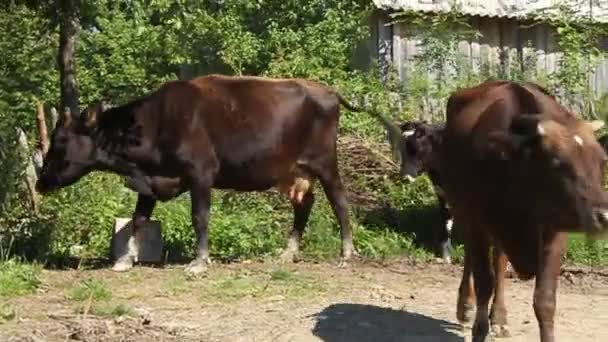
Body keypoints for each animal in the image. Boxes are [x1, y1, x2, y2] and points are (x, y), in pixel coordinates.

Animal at [34, 74, 384, 276]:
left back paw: (346, 252)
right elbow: (138, 219)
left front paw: (200, 261)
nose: (40, 180)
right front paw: (125, 259)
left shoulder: (200, 173)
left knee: (339, 201)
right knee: (305, 203)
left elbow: (200, 217)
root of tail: (328, 91)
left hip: (324, 162)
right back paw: (289, 252)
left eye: (60, 139)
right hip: (292, 170)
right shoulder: (150, 181)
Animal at [432, 80, 608, 342]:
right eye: (557, 163)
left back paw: (499, 317)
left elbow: (544, 300)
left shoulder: (555, 232)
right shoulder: (476, 220)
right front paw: (478, 328)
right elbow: (484, 283)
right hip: (463, 210)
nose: (605, 216)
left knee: (499, 260)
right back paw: (465, 306)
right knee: (472, 260)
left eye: (602, 161)